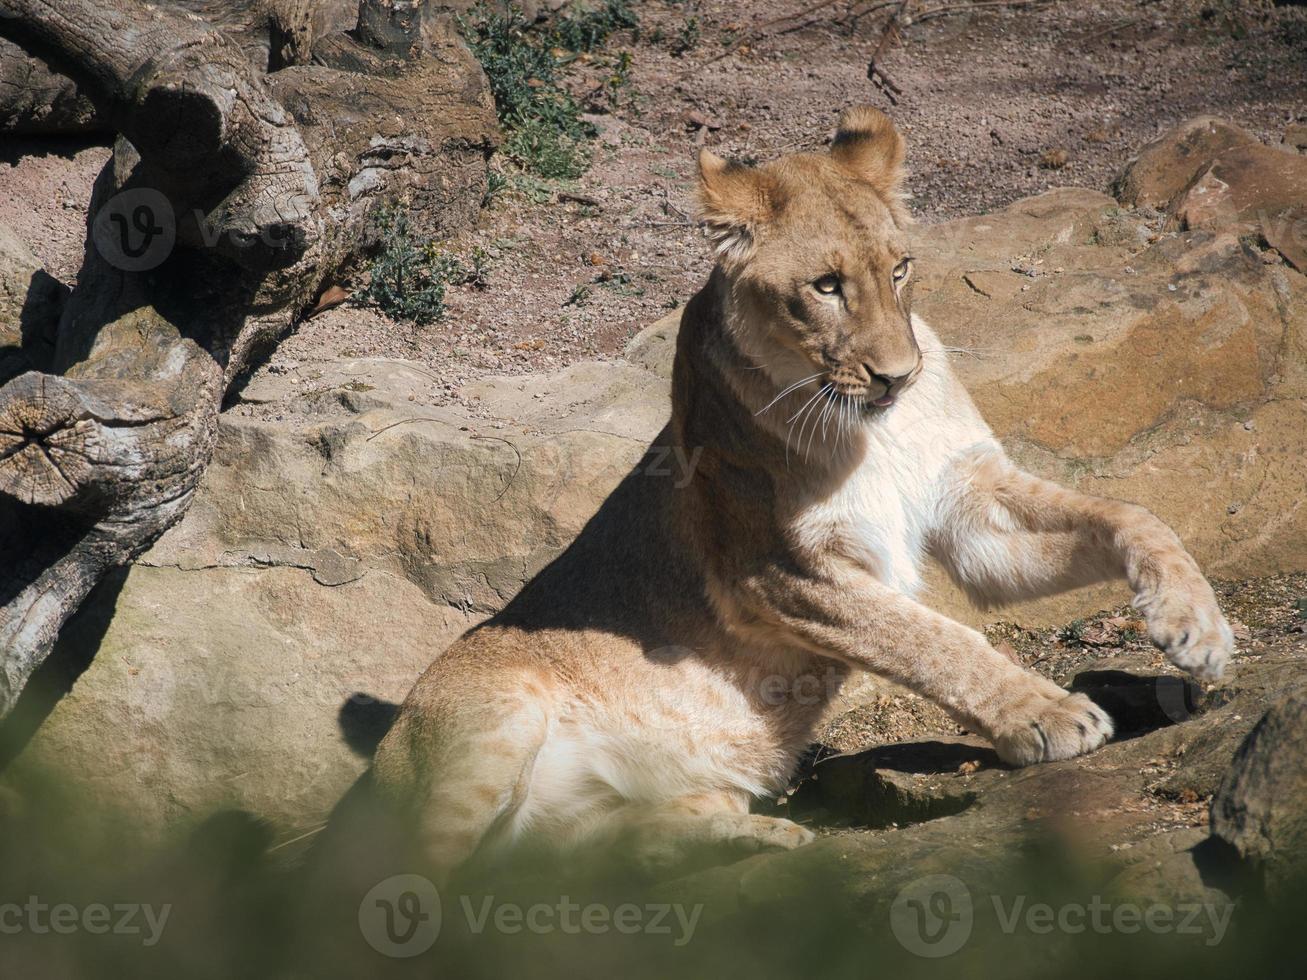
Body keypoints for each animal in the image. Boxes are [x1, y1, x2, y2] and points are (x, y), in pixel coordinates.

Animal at [371, 105, 1233, 883]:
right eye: (824, 286)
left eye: (898, 270)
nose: (897, 377)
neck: (874, 429)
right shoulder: (778, 572)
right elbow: (937, 640)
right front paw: (1048, 716)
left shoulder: (969, 511)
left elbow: (1130, 512)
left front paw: (1195, 626)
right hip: (492, 726)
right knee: (416, 884)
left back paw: (745, 836)